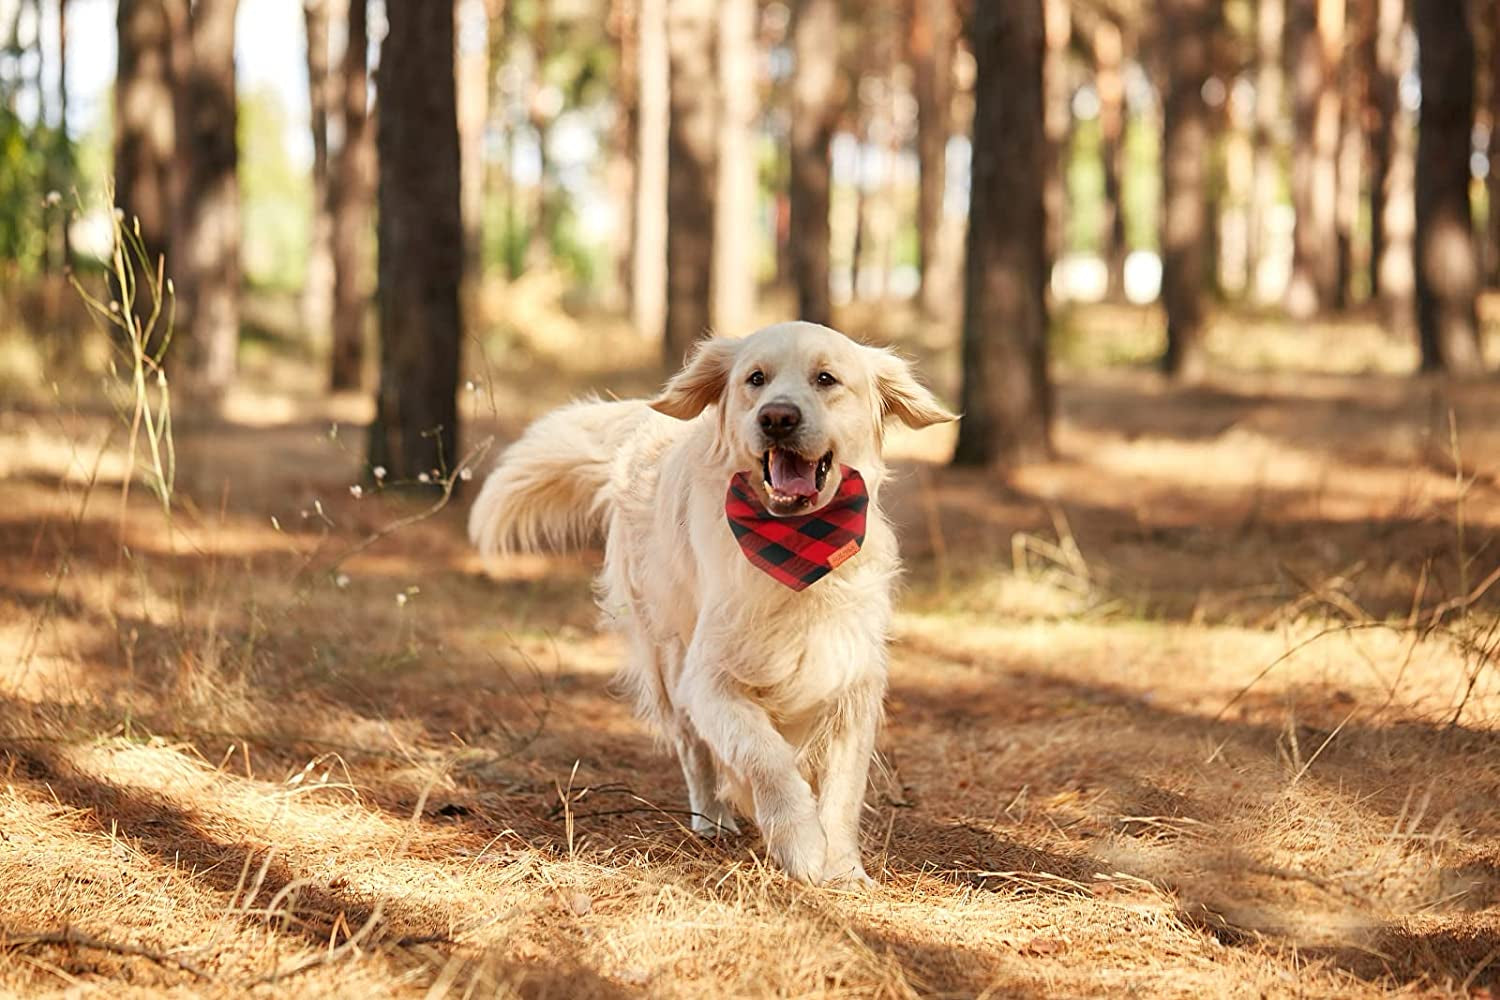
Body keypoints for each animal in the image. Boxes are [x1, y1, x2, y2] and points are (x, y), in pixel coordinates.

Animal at [468, 320, 954, 881]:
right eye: (755, 379)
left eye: (826, 378)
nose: (777, 417)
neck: (798, 553)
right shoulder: (709, 678)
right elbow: (765, 757)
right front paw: (802, 846)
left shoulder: (852, 679)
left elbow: (843, 790)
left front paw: (843, 867)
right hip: (667, 655)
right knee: (692, 748)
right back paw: (712, 819)